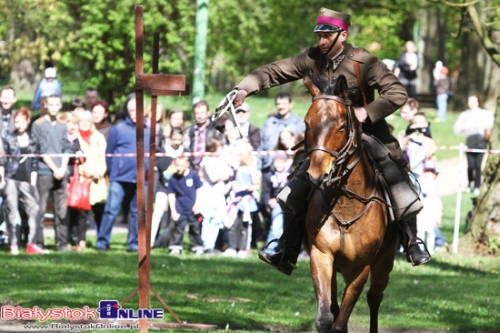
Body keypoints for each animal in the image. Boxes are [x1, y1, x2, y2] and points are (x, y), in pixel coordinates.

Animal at [300, 75, 398, 332]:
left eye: (341, 127)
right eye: (307, 123)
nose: (317, 176)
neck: (346, 202)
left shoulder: (361, 266)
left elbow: (340, 323)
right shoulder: (321, 255)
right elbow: (326, 318)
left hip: (384, 264)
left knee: (374, 298)